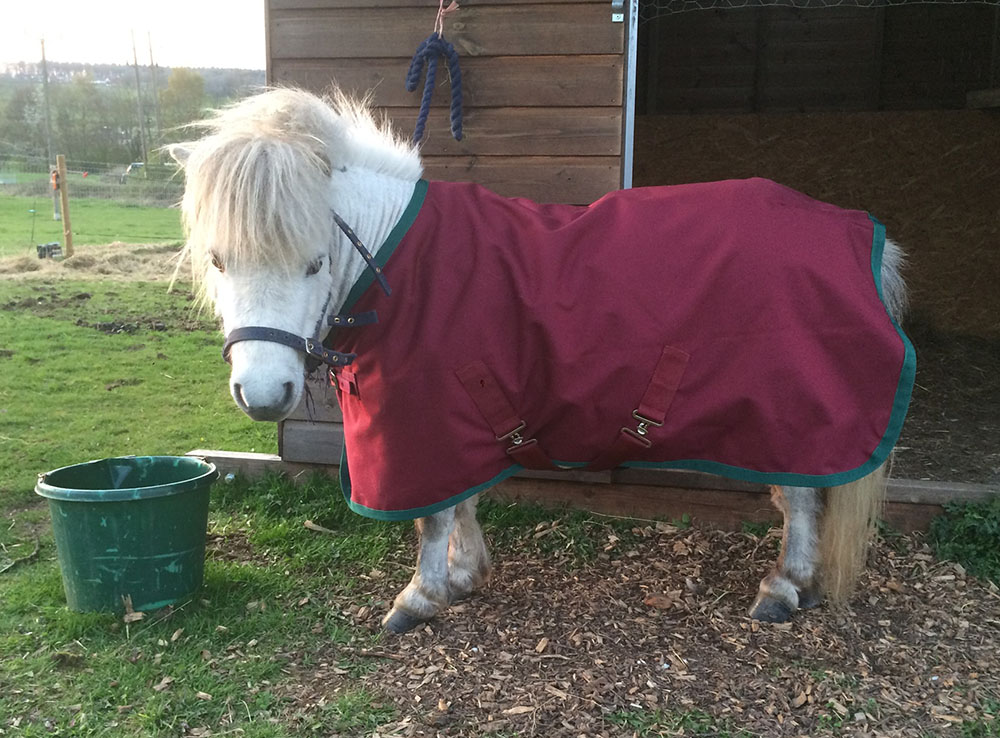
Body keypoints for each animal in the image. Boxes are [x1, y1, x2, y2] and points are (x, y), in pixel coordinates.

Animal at [172, 86, 916, 628]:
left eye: (315, 262)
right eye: (218, 259)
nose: (263, 394)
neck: (406, 268)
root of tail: (855, 233)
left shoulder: (427, 424)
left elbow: (433, 516)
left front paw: (420, 597)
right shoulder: (457, 425)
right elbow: (462, 504)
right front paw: (464, 575)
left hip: (793, 418)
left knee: (800, 499)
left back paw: (784, 588)